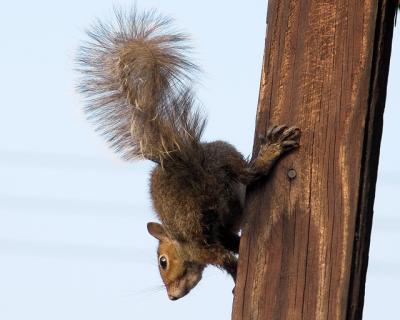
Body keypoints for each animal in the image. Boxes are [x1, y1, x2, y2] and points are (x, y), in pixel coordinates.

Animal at [77, 8, 300, 302]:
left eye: (162, 261)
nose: (171, 296)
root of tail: (182, 164)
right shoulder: (221, 232)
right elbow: (233, 243)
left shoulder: (200, 245)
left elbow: (225, 259)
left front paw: (235, 277)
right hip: (220, 166)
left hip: (206, 191)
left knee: (251, 176)